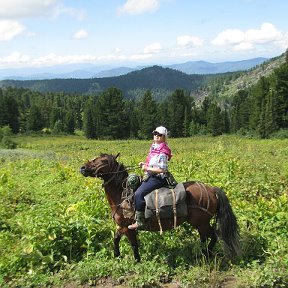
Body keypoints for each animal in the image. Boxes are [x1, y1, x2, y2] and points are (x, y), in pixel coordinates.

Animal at [80, 154, 240, 262]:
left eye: (103, 161)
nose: (83, 168)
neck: (122, 194)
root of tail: (211, 189)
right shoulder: (121, 226)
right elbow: (116, 239)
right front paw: (117, 255)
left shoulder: (128, 227)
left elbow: (133, 245)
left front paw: (137, 261)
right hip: (201, 223)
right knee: (204, 237)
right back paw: (200, 254)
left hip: (201, 222)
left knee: (213, 236)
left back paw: (206, 254)